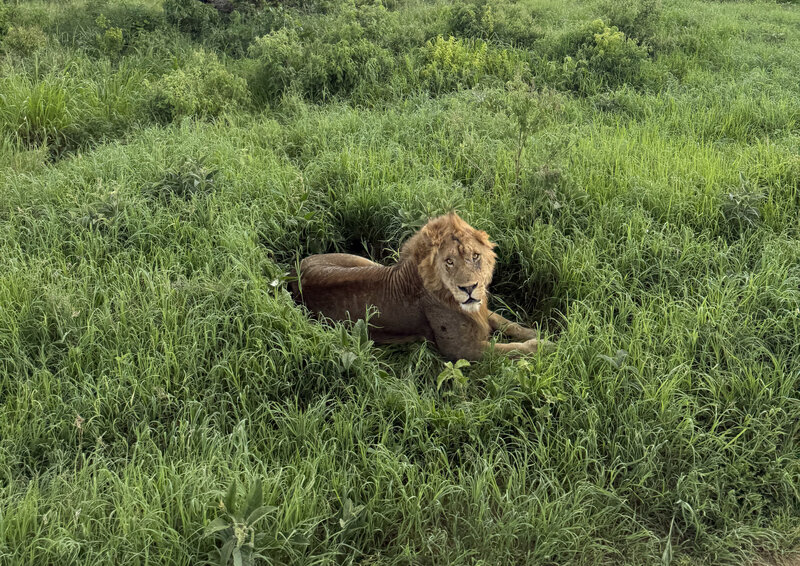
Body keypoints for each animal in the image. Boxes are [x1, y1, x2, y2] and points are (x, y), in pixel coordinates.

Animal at [290, 212, 546, 361]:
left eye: (475, 256)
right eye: (449, 261)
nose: (469, 288)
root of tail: (292, 276)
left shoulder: (480, 310)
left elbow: (507, 323)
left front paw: (537, 332)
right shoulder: (458, 350)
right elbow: (508, 349)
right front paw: (544, 345)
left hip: (362, 262)